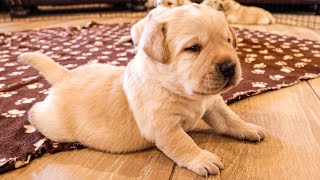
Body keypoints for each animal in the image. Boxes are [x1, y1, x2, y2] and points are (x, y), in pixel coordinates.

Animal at [18, 4, 266, 177]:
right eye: (193, 48)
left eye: (229, 41)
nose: (229, 66)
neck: (182, 91)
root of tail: (65, 76)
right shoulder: (163, 126)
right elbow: (183, 143)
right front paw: (202, 158)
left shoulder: (213, 105)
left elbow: (230, 119)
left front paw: (248, 128)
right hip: (55, 126)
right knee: (37, 111)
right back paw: (29, 114)